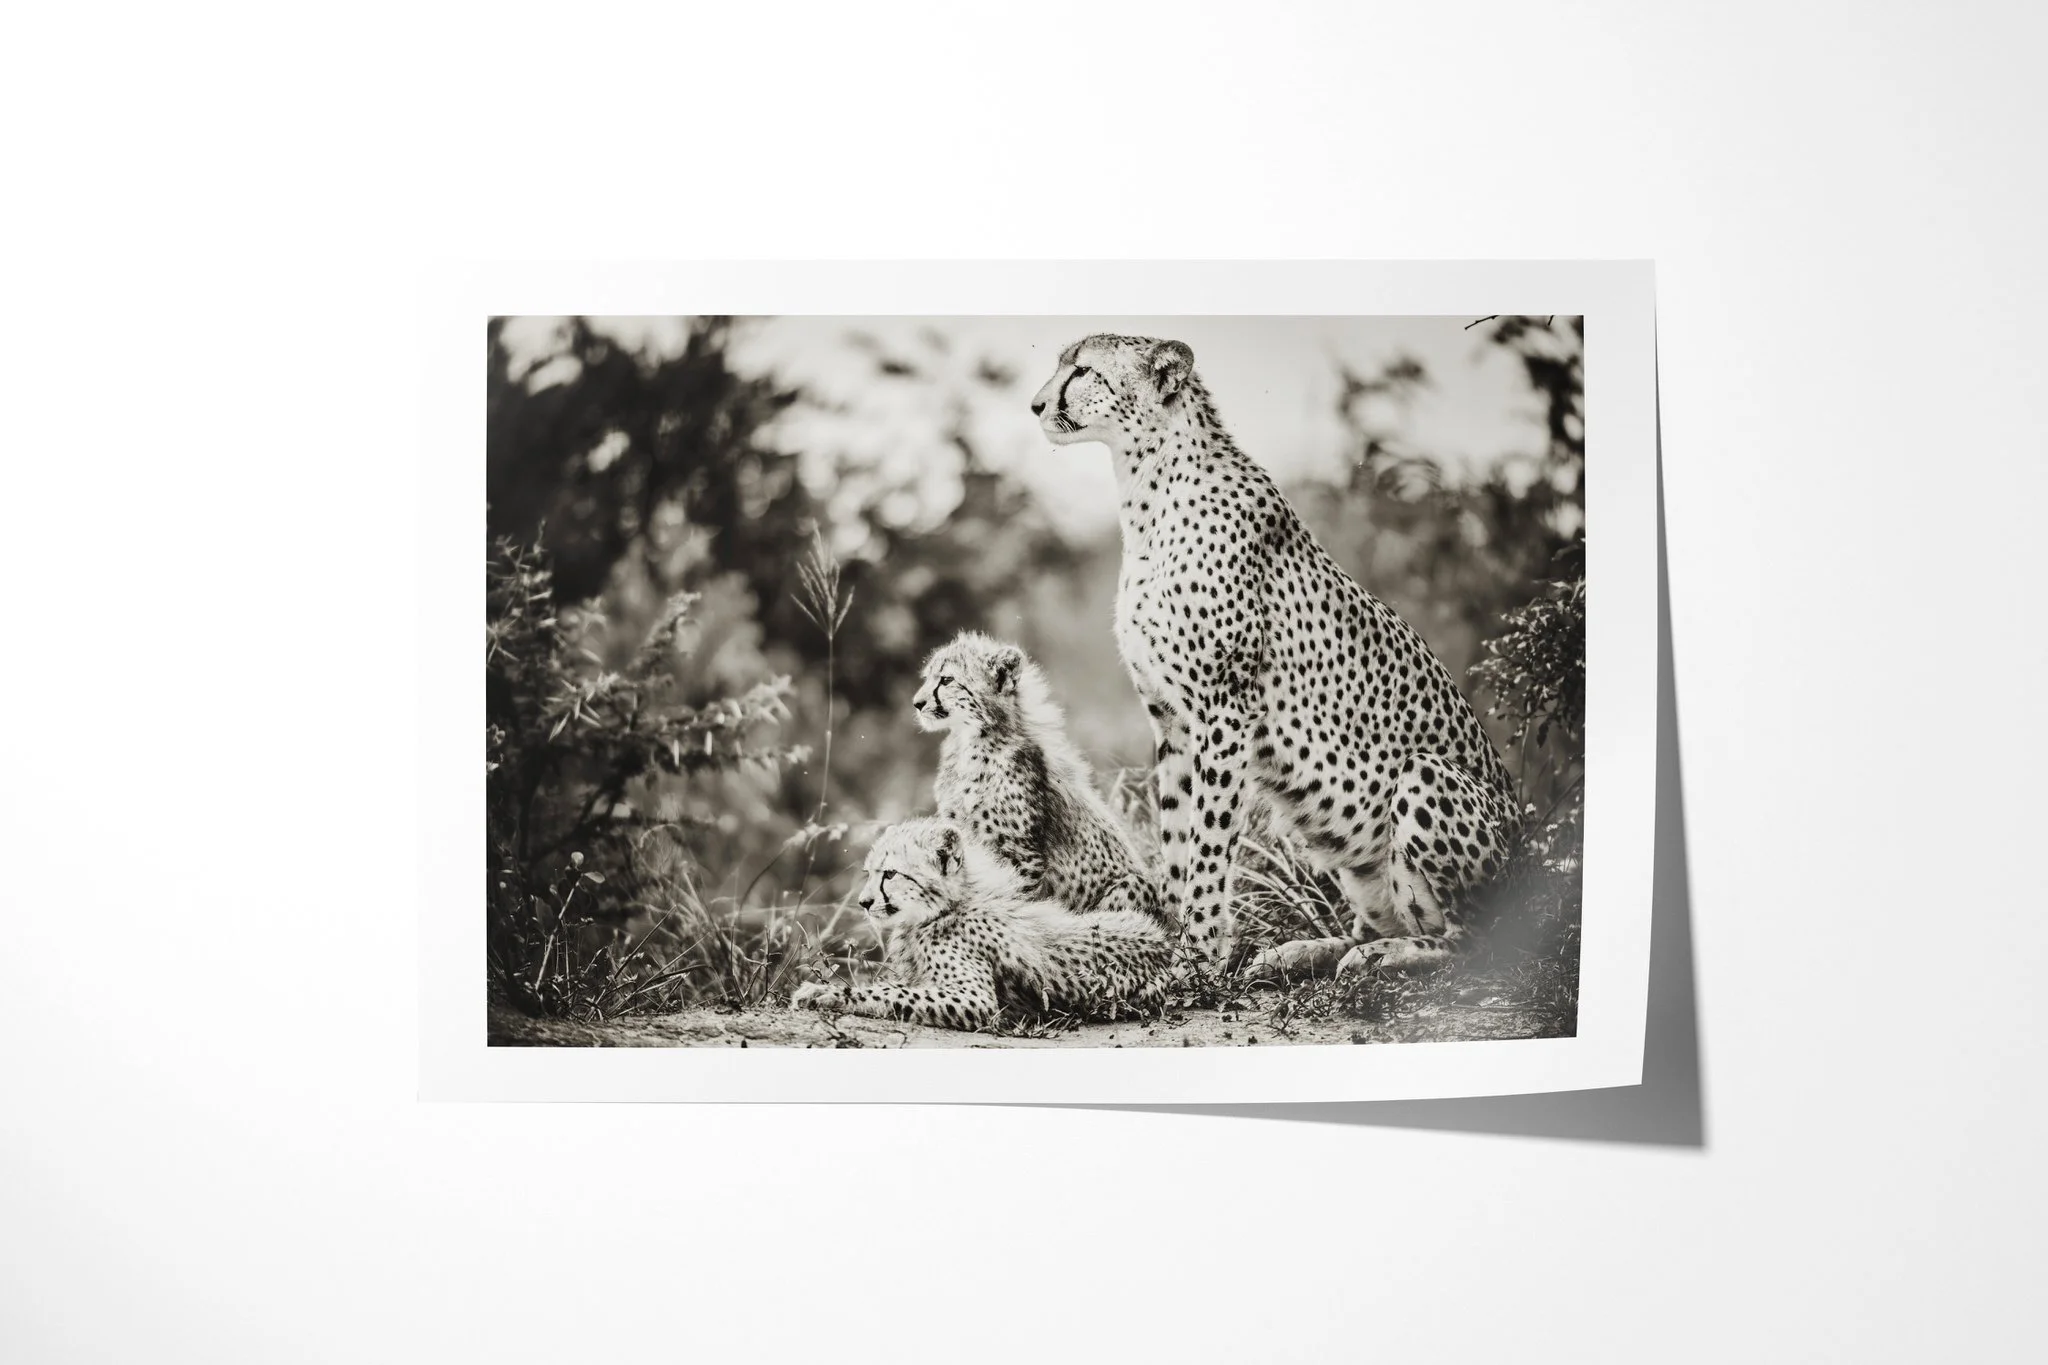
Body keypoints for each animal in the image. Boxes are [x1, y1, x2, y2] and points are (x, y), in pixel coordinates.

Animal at [789, 817, 1172, 1032]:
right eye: (869, 873)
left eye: (891, 874)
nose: (864, 902)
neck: (947, 906)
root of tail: (1165, 946)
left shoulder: (975, 998)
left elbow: (892, 991)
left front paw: (824, 992)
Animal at [913, 630, 1171, 931]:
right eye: (927, 678)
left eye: (946, 680)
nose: (917, 703)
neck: (969, 744)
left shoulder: (1022, 855)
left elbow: (1019, 901)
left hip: (1131, 885)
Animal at [1030, 332, 1522, 978]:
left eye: (1083, 370)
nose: (1036, 405)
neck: (1147, 489)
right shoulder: (1171, 719)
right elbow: (1177, 836)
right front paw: (1174, 943)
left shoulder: (1224, 711)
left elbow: (1209, 843)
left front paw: (1198, 955)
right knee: (1375, 922)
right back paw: (1302, 951)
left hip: (1426, 776)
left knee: (1475, 943)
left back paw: (1383, 956)